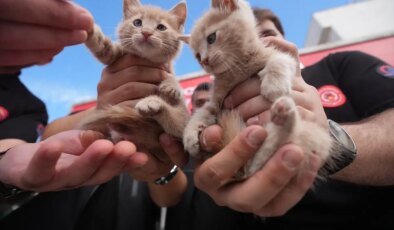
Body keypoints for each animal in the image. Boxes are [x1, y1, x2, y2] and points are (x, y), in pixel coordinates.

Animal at [80, 0, 189, 164]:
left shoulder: (167, 67)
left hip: (182, 121)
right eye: (137, 22)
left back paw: (152, 103)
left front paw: (172, 87)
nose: (146, 32)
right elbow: (103, 47)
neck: (145, 57)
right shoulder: (115, 55)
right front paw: (90, 29)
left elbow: (171, 77)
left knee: (176, 124)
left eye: (161, 27)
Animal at [183, 0, 334, 180]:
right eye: (198, 56)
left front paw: (274, 86)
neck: (237, 69)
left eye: (211, 38)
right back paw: (283, 116)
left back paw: (284, 114)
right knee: (254, 167)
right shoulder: (215, 100)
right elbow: (202, 112)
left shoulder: (280, 56)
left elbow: (279, 60)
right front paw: (190, 135)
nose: (205, 61)